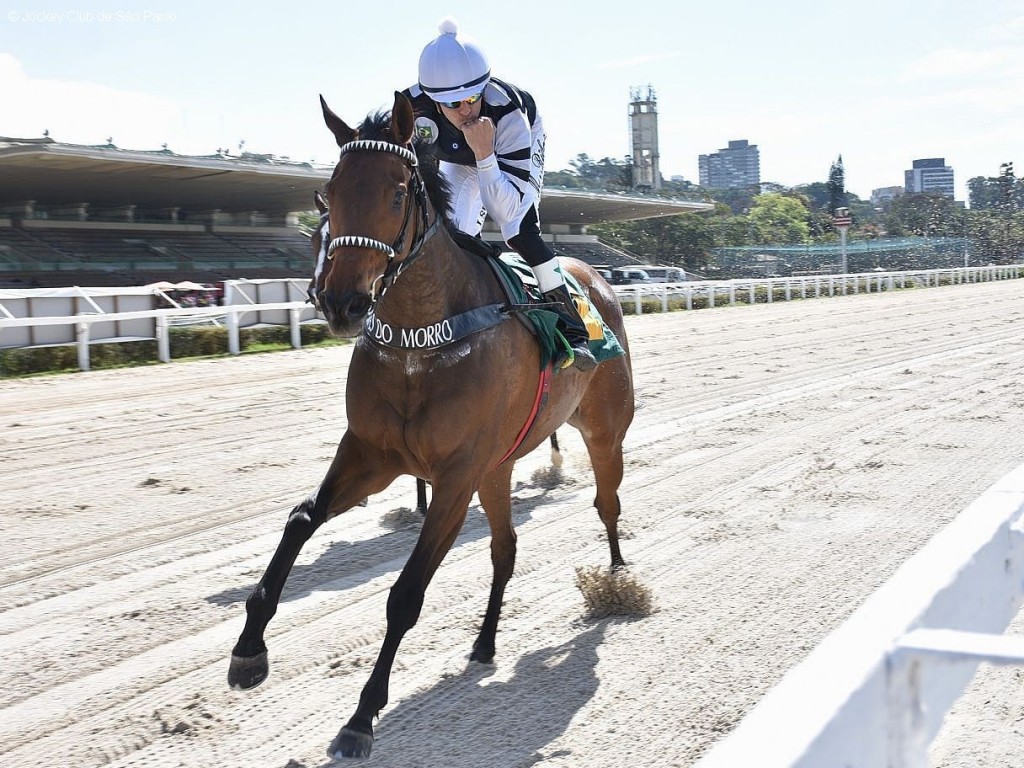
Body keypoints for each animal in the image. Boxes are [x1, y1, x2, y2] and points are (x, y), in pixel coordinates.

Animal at [231, 91, 630, 765]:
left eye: (397, 193)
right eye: (327, 195)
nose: (339, 301)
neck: (422, 341)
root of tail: (596, 277)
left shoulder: (455, 476)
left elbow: (404, 595)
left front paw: (361, 716)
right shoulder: (373, 454)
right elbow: (301, 519)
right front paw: (248, 648)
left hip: (603, 433)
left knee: (607, 504)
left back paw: (619, 582)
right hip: (499, 468)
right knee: (505, 548)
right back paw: (486, 642)